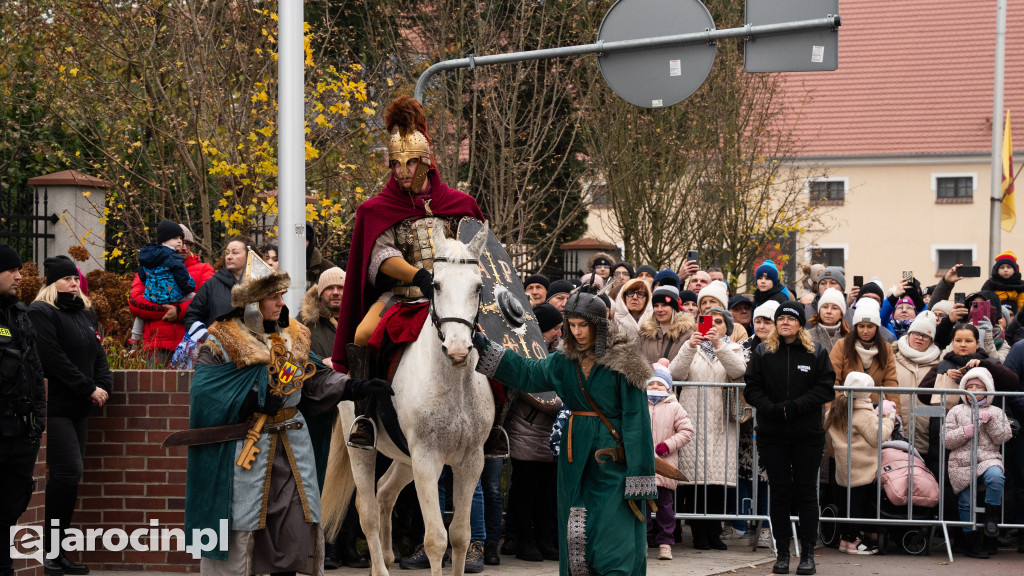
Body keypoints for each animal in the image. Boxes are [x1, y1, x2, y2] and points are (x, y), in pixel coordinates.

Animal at [321, 220, 493, 573]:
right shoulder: (427, 459)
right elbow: (436, 539)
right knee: (367, 509)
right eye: (436, 285)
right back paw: (380, 567)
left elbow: (460, 536)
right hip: (361, 448)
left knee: (384, 493)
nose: (457, 349)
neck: (454, 383)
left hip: (403, 457)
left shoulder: (471, 461)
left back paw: (387, 556)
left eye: (478, 287)